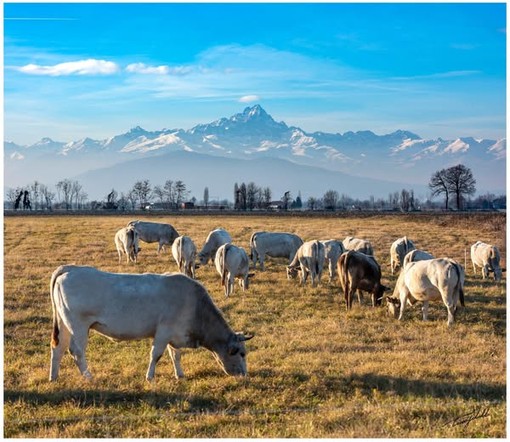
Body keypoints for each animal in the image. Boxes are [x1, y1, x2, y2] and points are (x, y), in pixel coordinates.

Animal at [48, 264, 252, 382]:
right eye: (242, 353)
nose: (244, 375)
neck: (195, 305)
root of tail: (71, 268)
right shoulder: (163, 331)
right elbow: (156, 355)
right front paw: (150, 377)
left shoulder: (174, 334)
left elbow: (175, 355)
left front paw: (180, 375)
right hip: (78, 326)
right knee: (77, 351)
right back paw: (89, 377)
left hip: (64, 325)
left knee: (58, 348)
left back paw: (54, 377)